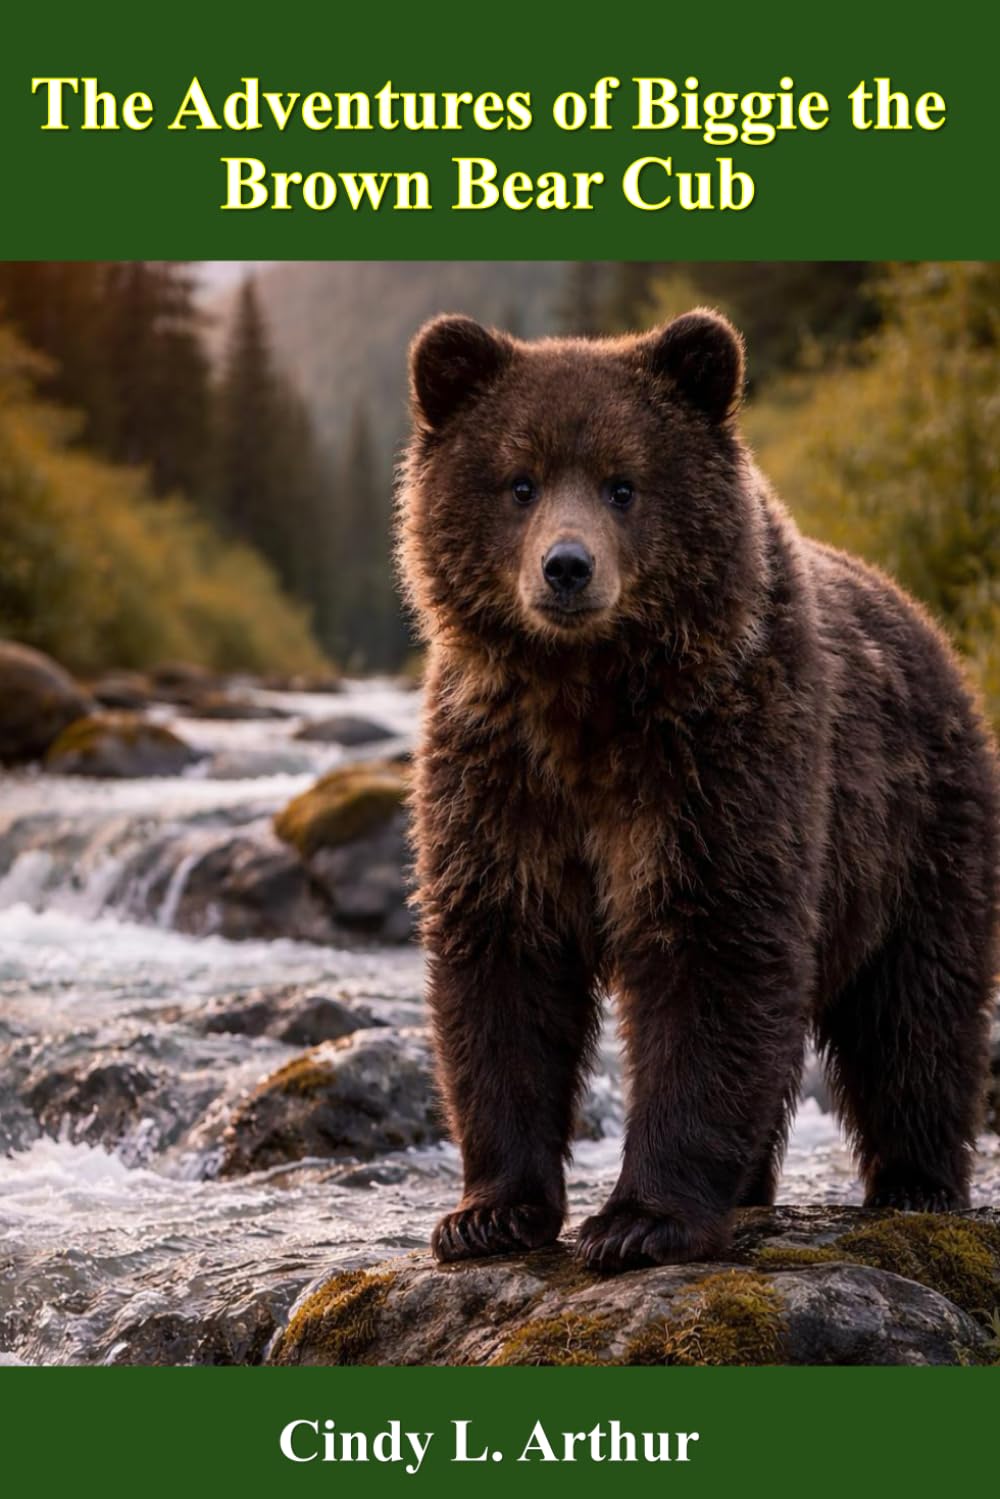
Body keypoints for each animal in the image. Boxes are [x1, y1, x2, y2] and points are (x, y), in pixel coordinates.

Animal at [396, 308, 1000, 1272]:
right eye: (520, 481)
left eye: (624, 484)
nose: (567, 568)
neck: (589, 701)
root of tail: (928, 623)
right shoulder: (498, 781)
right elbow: (504, 973)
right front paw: (487, 1213)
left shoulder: (720, 761)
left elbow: (713, 956)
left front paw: (639, 1220)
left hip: (917, 832)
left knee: (918, 1010)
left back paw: (918, 1181)